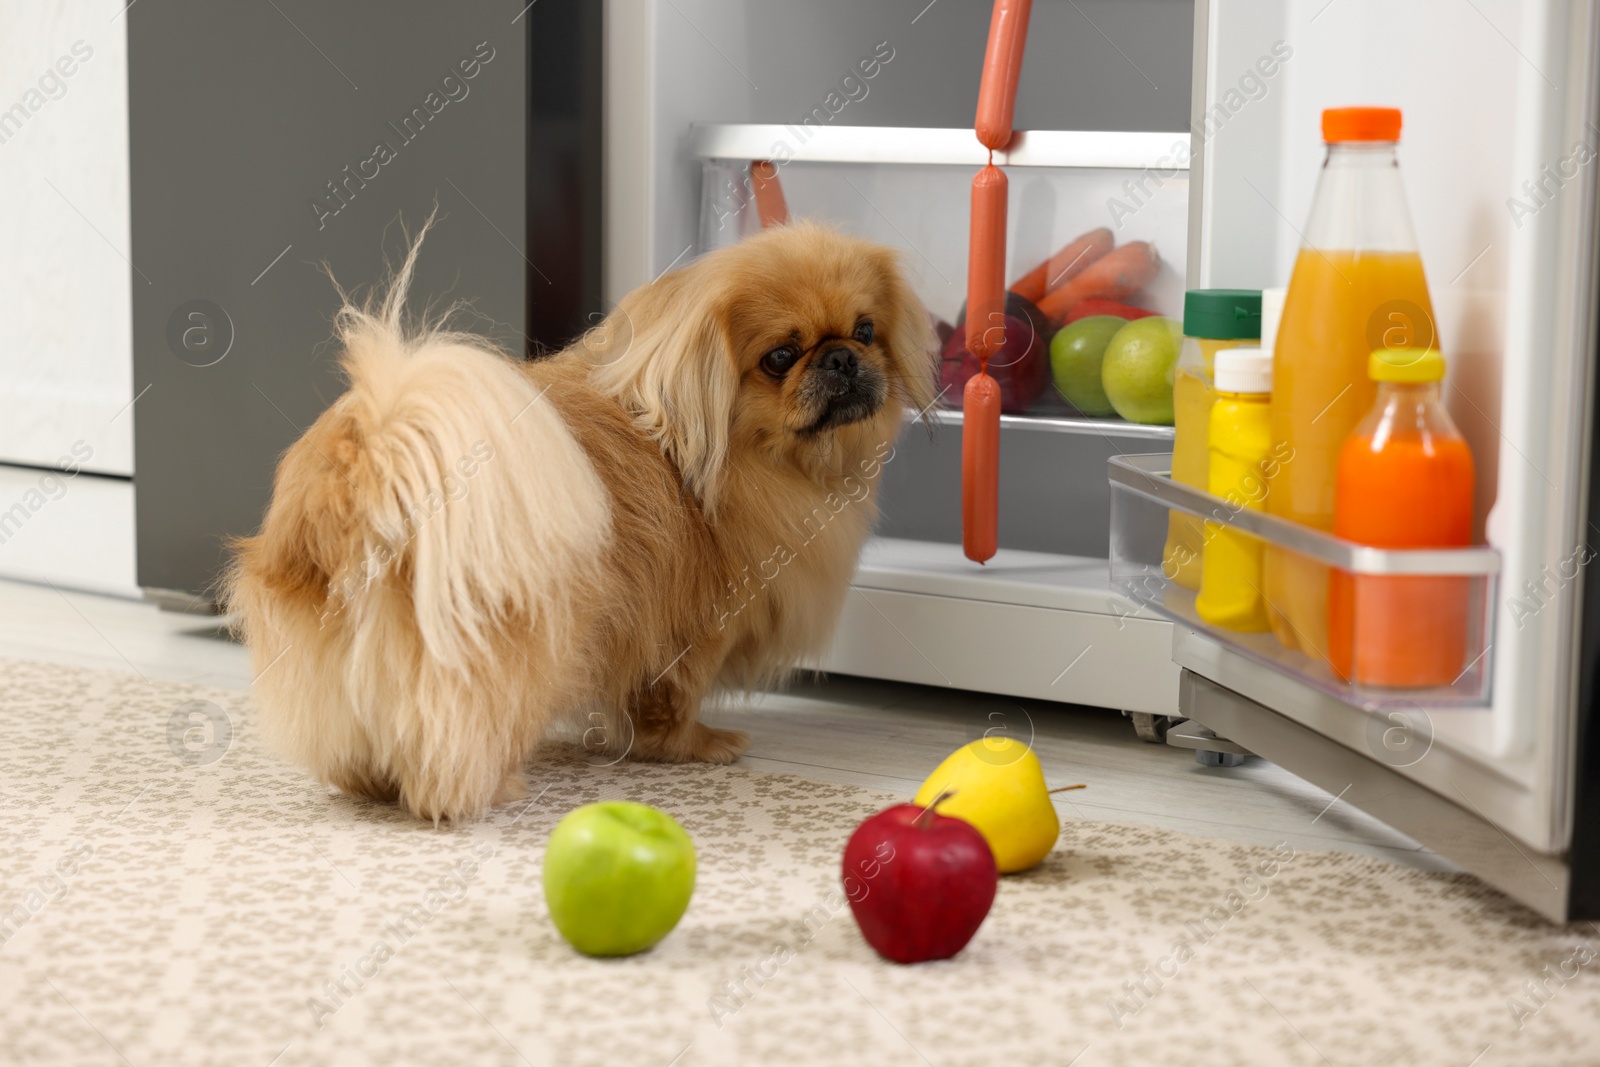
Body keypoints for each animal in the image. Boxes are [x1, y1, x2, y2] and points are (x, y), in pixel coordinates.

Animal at [225, 220, 934, 825]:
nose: (840, 358)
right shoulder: (699, 628)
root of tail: (368, 471)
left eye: (865, 331)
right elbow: (673, 699)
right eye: (781, 357)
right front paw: (697, 745)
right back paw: (489, 786)